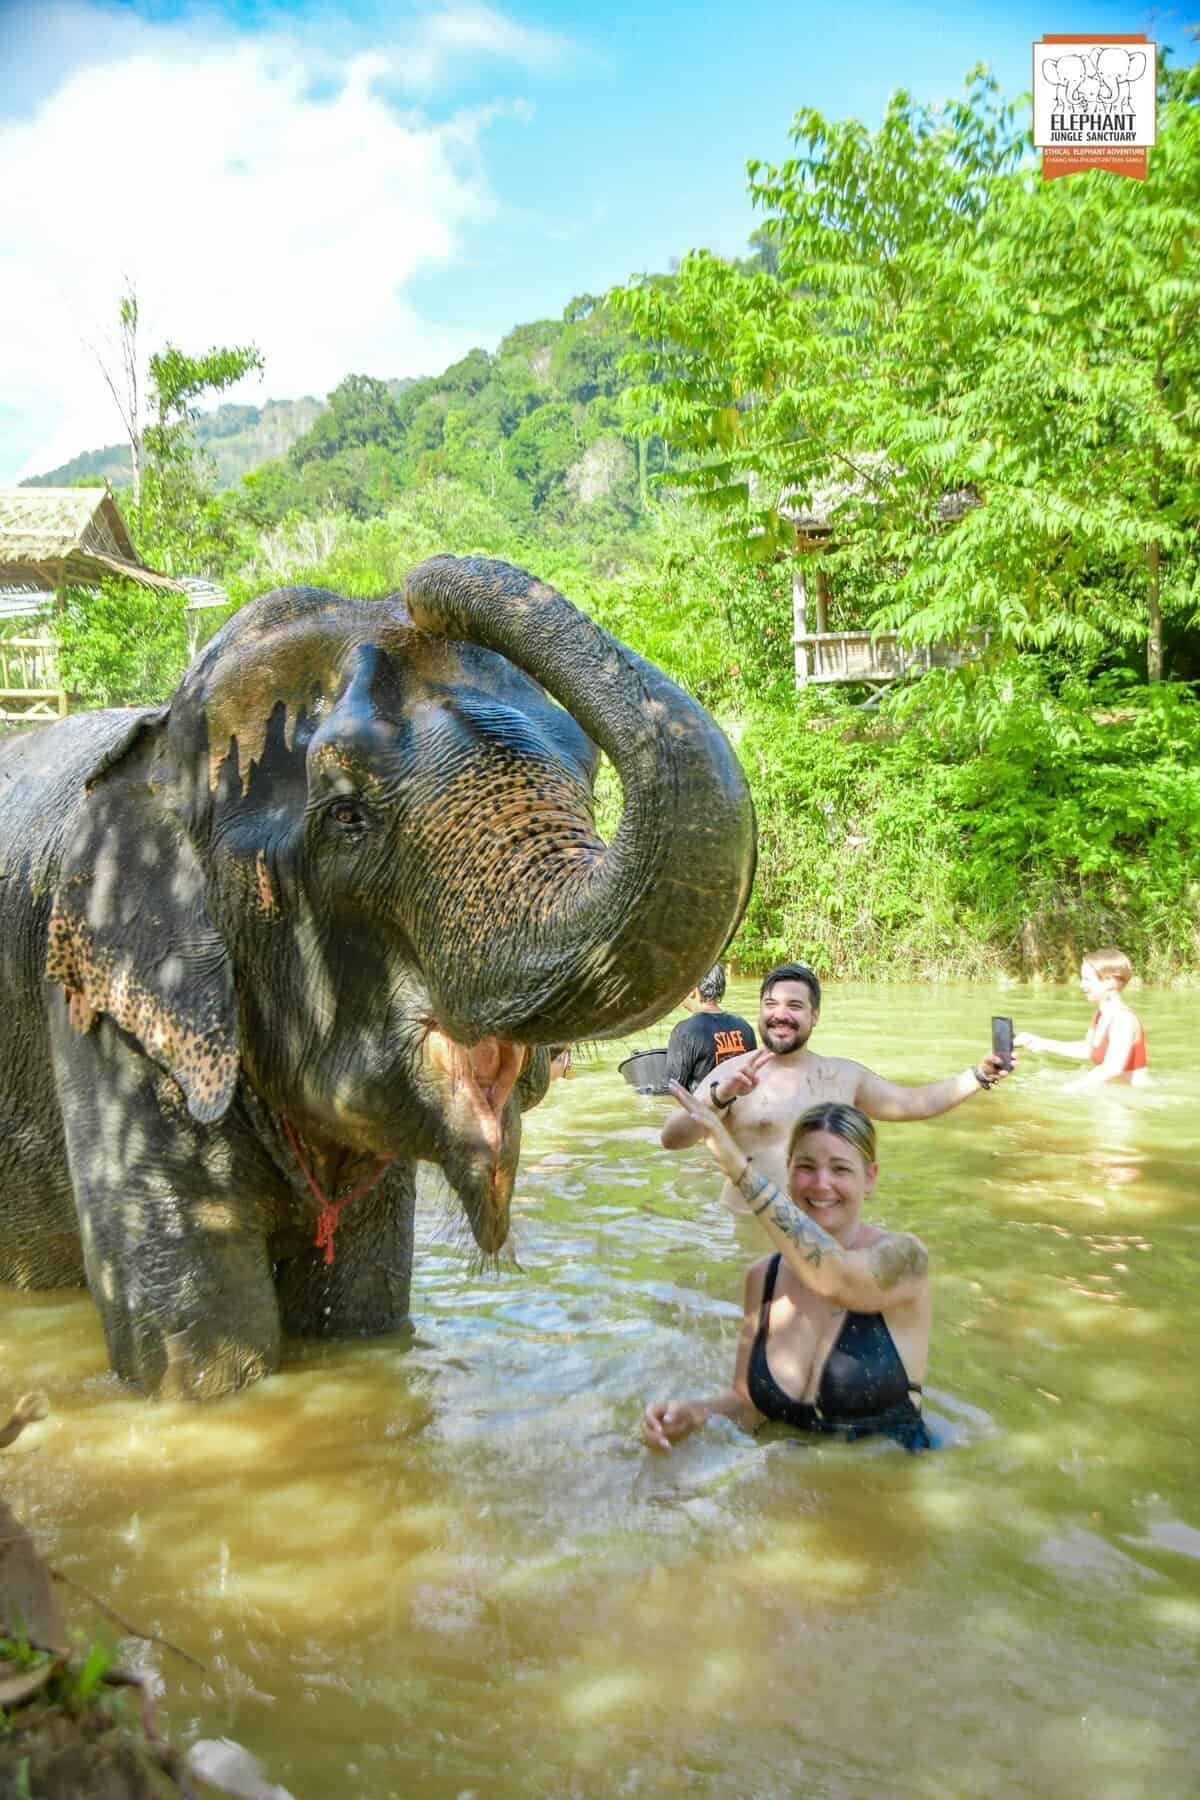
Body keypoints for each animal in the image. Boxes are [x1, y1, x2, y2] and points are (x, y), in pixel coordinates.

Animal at [0, 556, 755, 1400]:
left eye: (587, 776)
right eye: (347, 817)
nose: (419, 587)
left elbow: (361, 1311)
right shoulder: (108, 1016)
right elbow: (207, 1359)